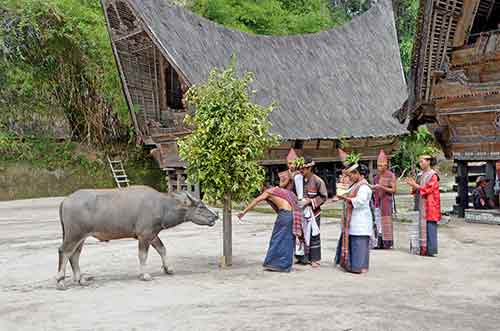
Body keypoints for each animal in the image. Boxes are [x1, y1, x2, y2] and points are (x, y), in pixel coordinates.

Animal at [56, 187, 217, 290]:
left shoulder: (153, 234)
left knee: (74, 255)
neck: (162, 206)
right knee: (64, 251)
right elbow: (143, 255)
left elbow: (162, 249)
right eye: (201, 207)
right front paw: (144, 275)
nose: (216, 216)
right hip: (74, 235)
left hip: (81, 237)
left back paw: (81, 279)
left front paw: (168, 268)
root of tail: (65, 201)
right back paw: (60, 282)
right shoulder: (144, 235)